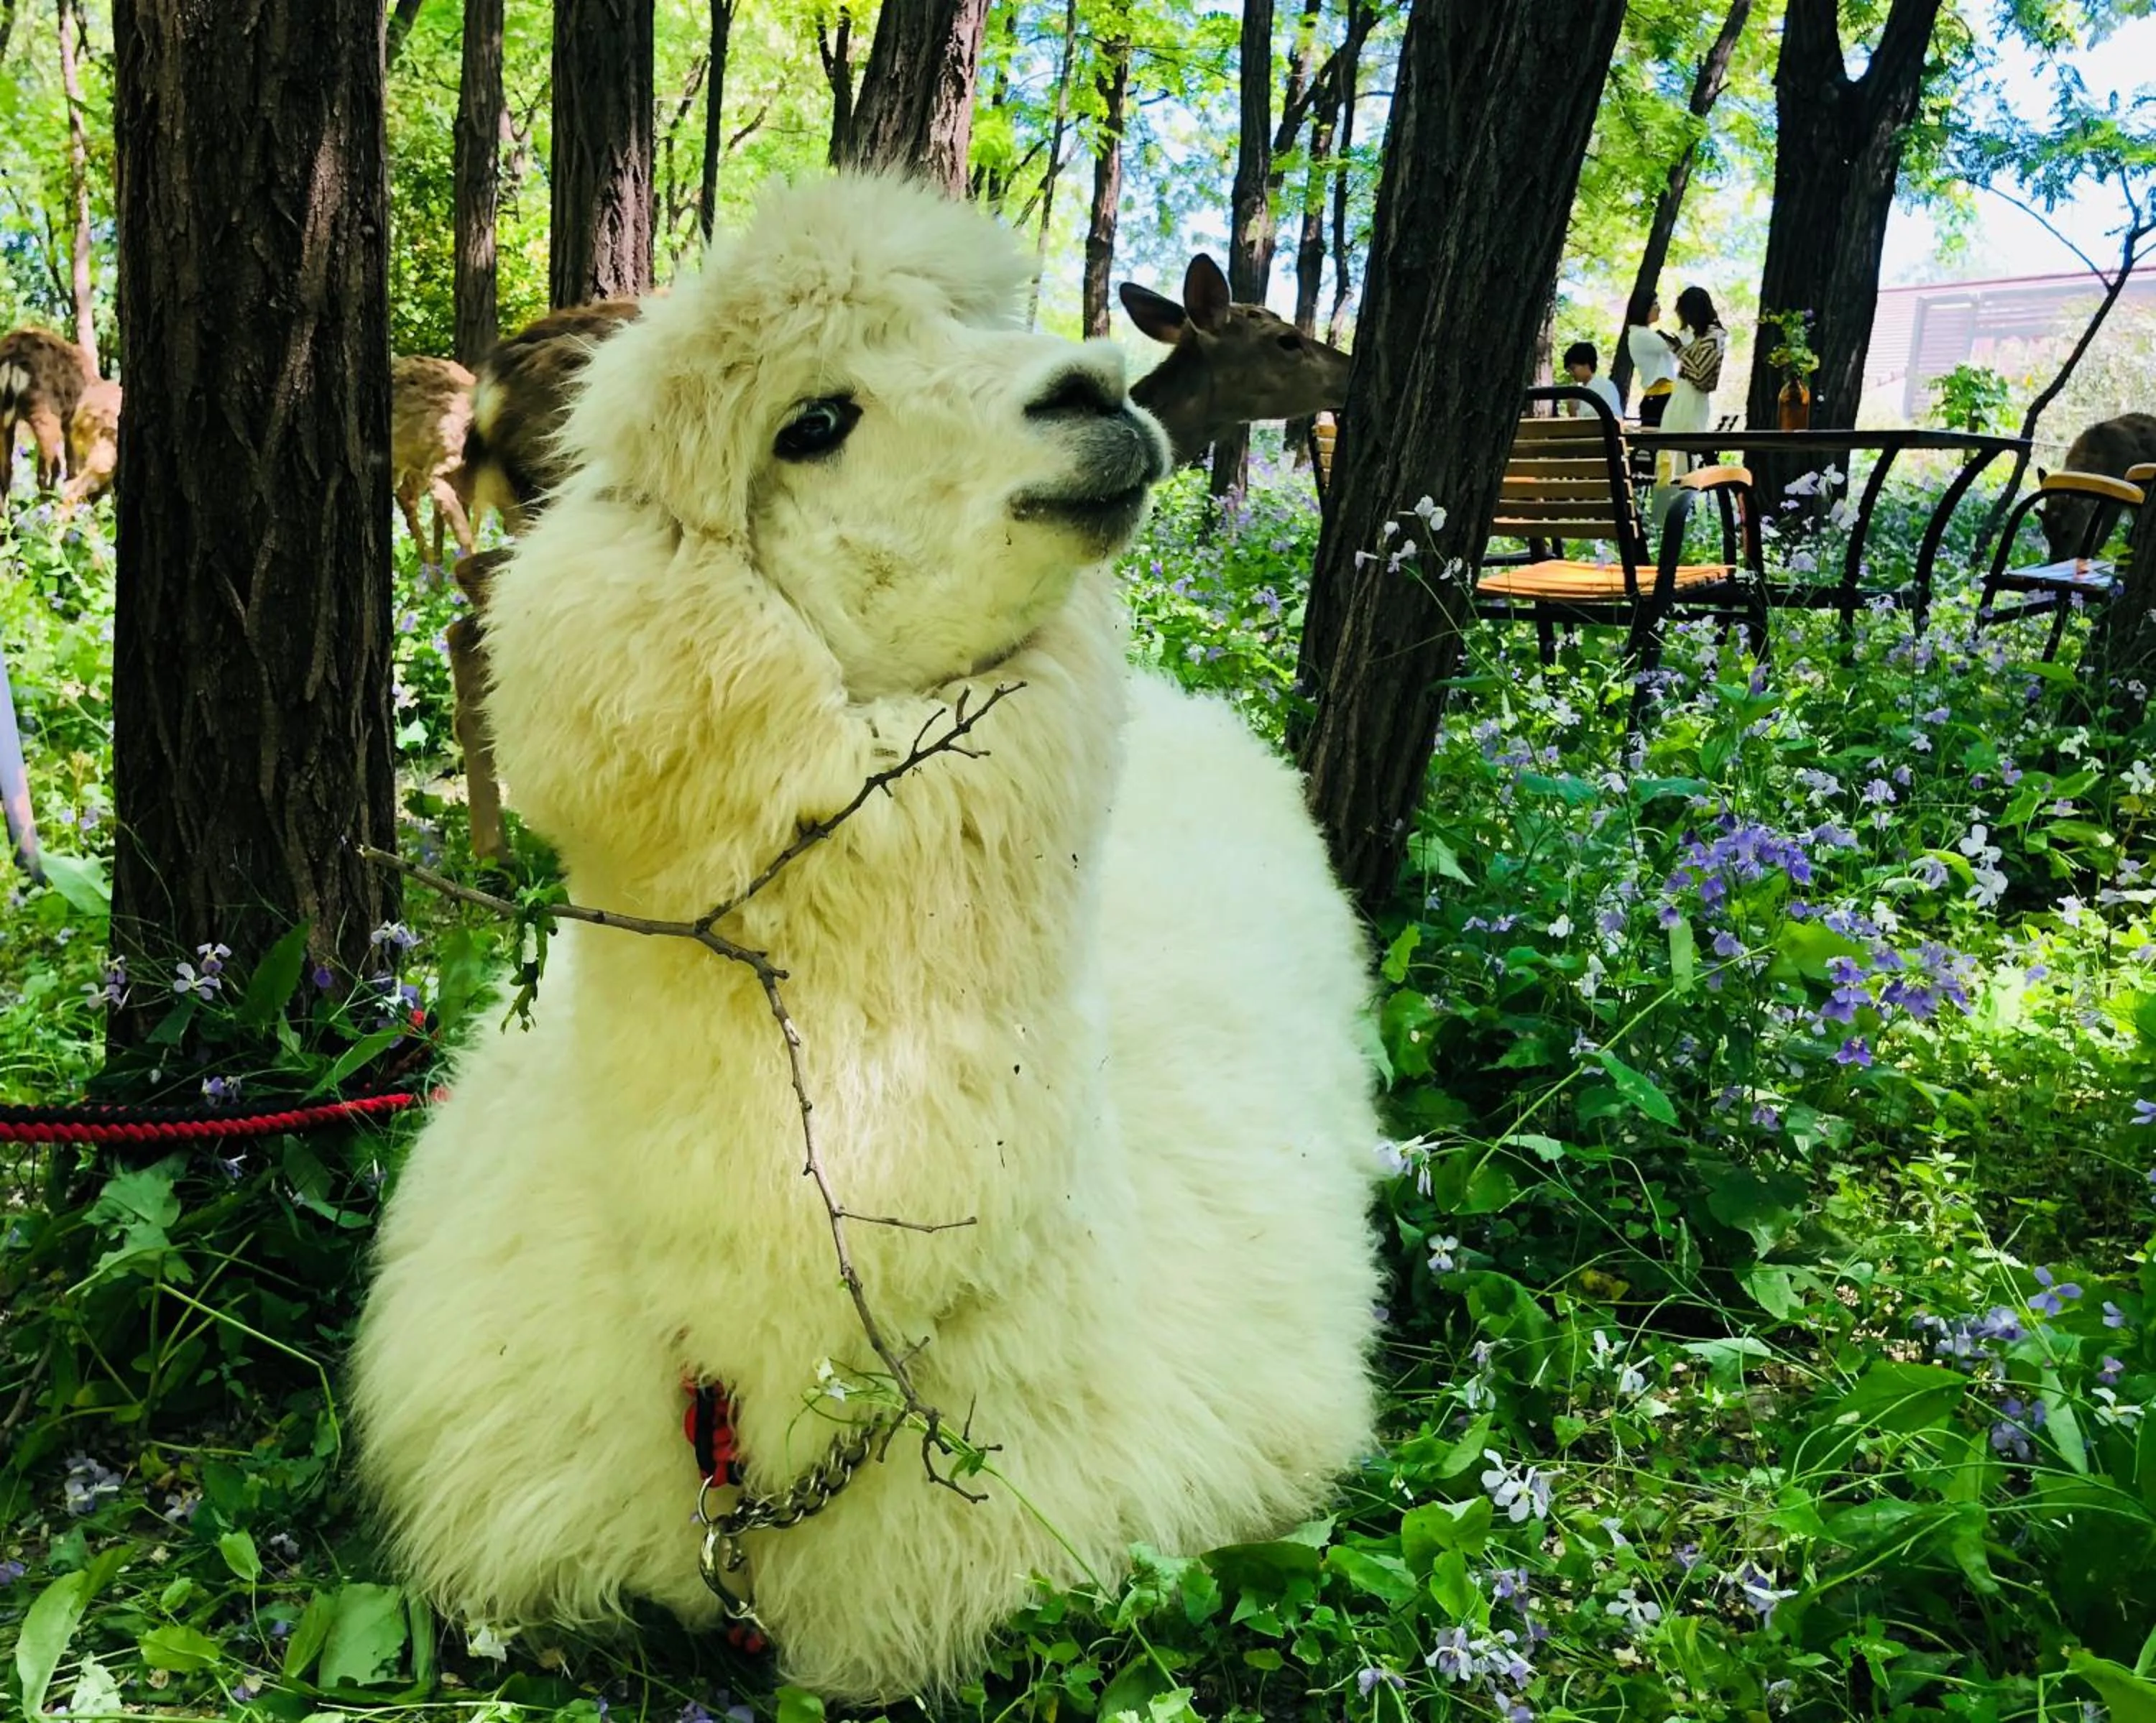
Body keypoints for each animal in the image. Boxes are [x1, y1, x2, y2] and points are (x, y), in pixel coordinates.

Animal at [0, 326, 96, 503]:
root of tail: (12, 362)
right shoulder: (71, 419)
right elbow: (68, 459)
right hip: (43, 409)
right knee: (46, 465)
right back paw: (48, 499)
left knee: (7, 470)